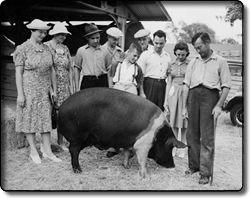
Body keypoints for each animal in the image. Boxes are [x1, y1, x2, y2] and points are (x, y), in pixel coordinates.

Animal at [58, 87, 187, 177]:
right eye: (170, 147)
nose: (173, 165)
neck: (159, 135)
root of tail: (61, 108)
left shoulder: (129, 143)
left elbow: (127, 153)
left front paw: (126, 167)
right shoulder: (142, 145)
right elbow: (142, 160)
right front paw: (145, 176)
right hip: (80, 136)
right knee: (73, 150)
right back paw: (78, 170)